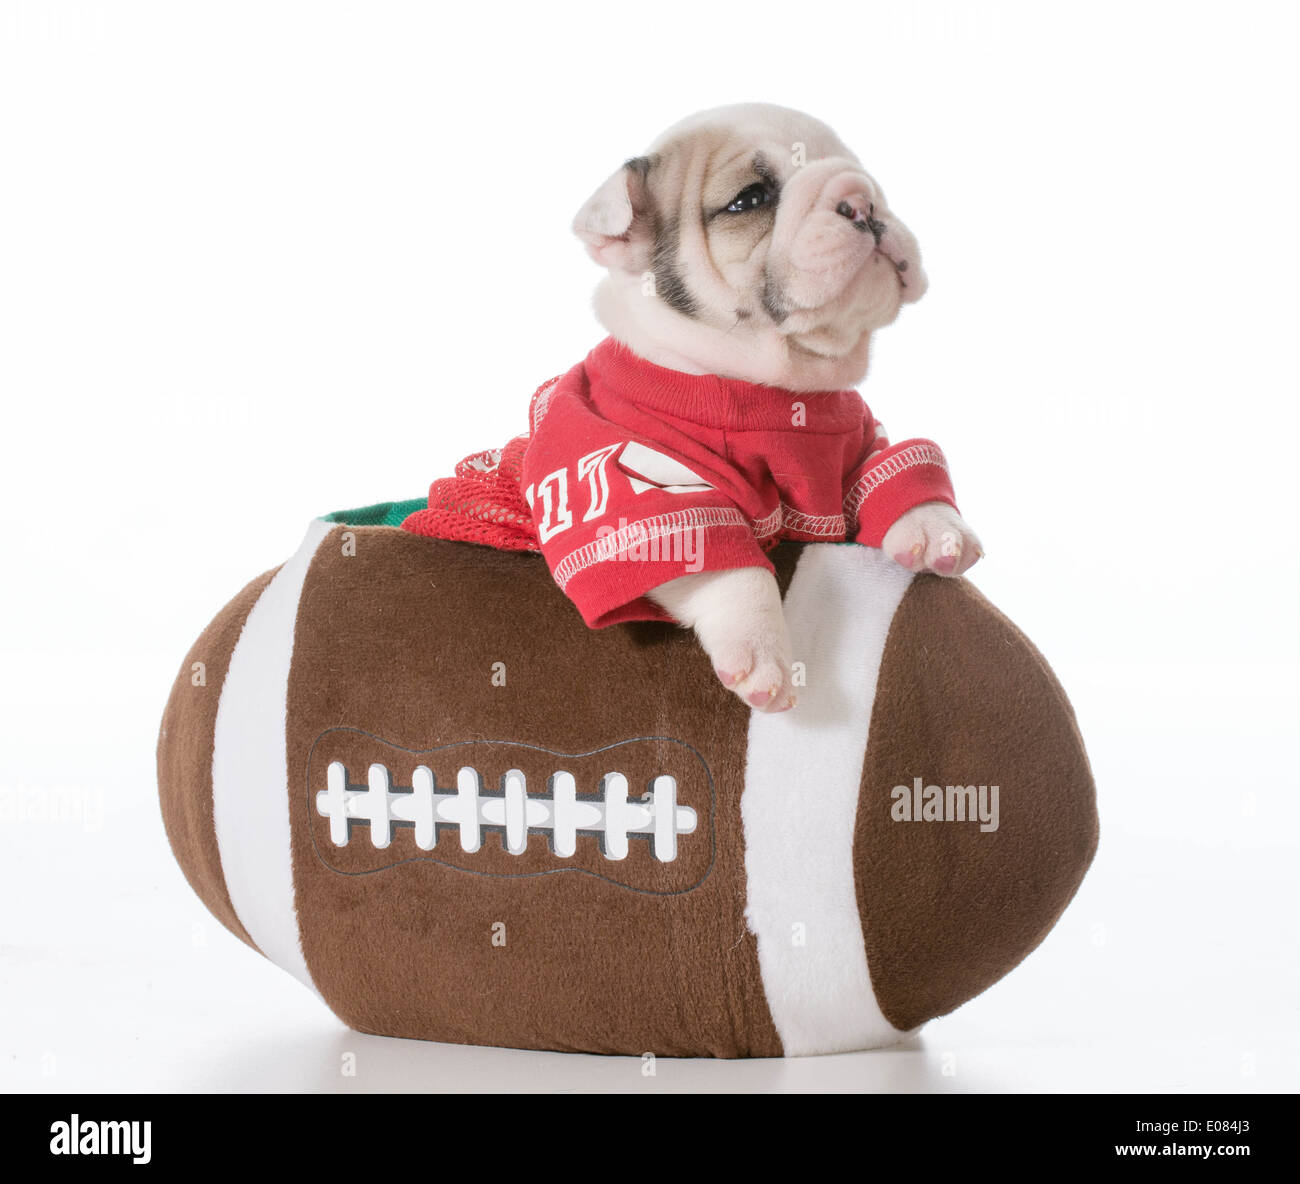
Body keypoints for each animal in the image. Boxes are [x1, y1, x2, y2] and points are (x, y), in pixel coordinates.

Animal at [574, 102, 977, 707]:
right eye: (751, 198)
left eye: (860, 171)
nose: (862, 200)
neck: (775, 387)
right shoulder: (644, 487)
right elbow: (727, 563)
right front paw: (760, 651)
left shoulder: (855, 438)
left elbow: (889, 465)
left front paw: (933, 525)